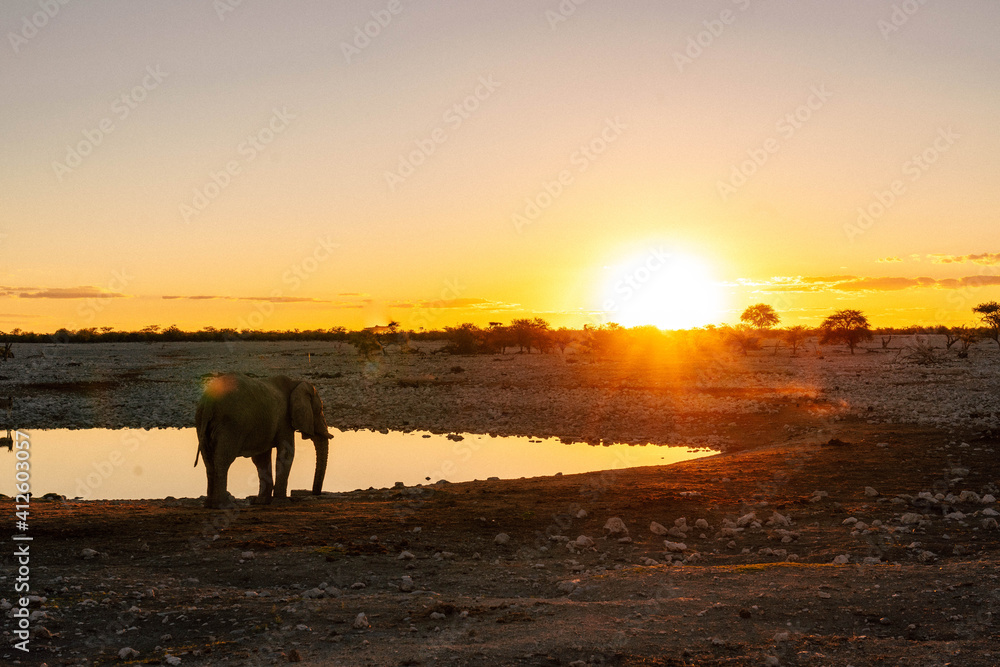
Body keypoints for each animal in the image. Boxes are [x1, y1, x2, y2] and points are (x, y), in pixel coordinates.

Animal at [194, 374, 332, 509]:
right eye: (320, 409)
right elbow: (287, 454)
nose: (315, 493)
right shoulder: (284, 420)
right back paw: (225, 505)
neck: (295, 382)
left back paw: (210, 504)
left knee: (208, 460)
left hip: (201, 422)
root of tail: (208, 404)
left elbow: (261, 458)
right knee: (223, 459)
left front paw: (261, 502)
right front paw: (281, 502)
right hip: (230, 425)